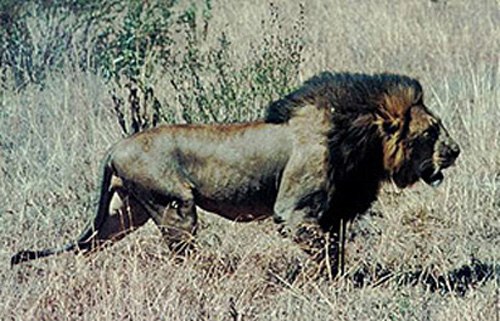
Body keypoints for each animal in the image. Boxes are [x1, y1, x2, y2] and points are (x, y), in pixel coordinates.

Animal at [11, 72, 458, 276]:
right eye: (430, 132)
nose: (455, 151)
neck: (360, 141)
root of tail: (113, 148)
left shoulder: (333, 211)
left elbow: (336, 248)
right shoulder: (293, 212)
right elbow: (325, 252)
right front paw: (331, 285)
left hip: (126, 212)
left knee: (89, 245)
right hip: (175, 207)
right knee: (181, 253)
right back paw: (205, 276)